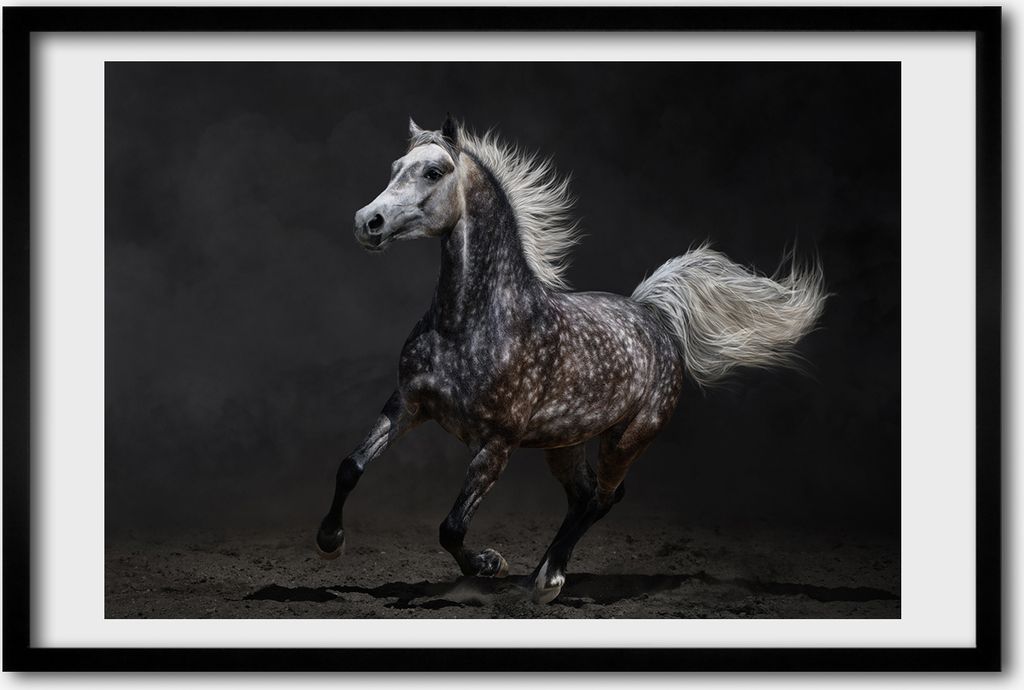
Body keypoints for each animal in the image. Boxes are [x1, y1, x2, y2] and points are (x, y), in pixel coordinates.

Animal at [315, 116, 826, 604]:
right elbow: (350, 466)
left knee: (603, 498)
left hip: (626, 439)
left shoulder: (497, 443)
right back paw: (542, 574)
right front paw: (329, 542)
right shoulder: (407, 405)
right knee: (583, 498)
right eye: (395, 168)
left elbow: (452, 528)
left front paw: (490, 565)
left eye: (434, 172)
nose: (368, 221)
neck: (469, 324)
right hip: (565, 443)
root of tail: (654, 316)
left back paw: (547, 580)